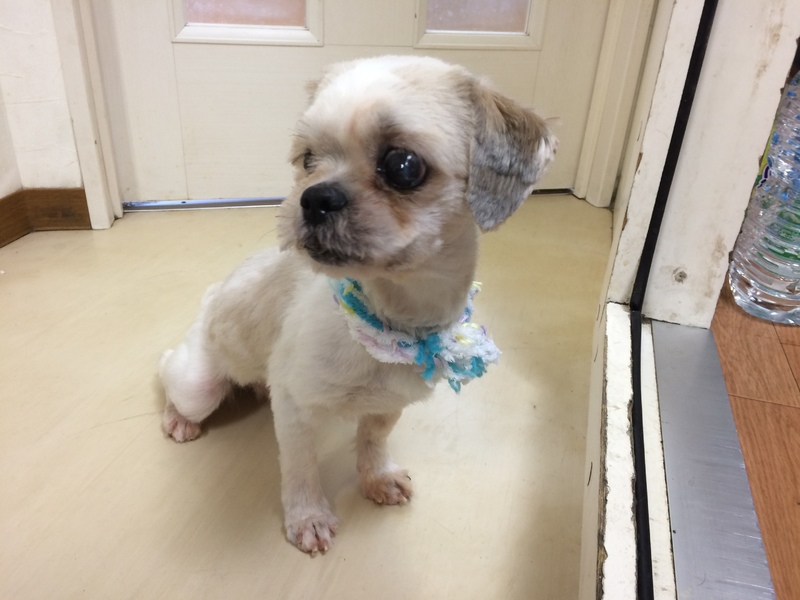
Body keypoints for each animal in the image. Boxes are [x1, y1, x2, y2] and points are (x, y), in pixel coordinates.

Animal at [159, 55, 556, 555]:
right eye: (308, 159)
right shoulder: (294, 405)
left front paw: (376, 477)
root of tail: (213, 296)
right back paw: (178, 419)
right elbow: (301, 467)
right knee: (172, 377)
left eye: (403, 165)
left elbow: (373, 440)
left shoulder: (390, 402)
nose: (313, 198)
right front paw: (308, 516)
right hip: (198, 384)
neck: (393, 319)